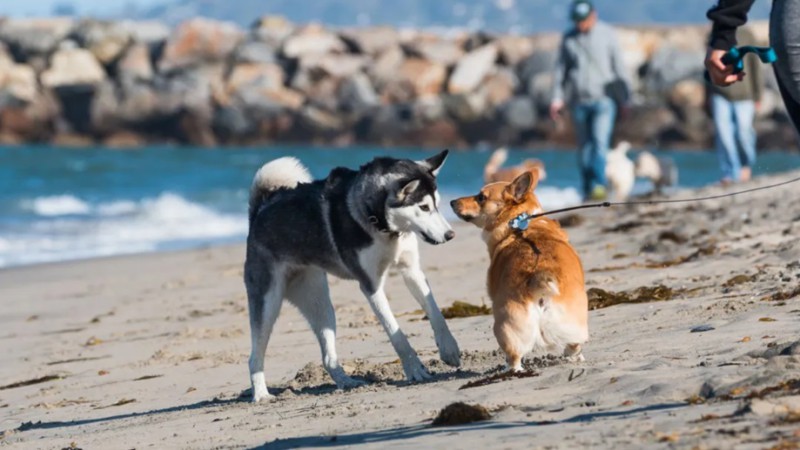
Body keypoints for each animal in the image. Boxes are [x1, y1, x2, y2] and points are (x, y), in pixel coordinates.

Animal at [244, 149, 460, 402]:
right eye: (424, 207)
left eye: (437, 205)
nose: (450, 234)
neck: (381, 224)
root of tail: (259, 210)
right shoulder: (371, 285)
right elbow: (396, 334)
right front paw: (414, 368)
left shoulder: (412, 271)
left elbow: (436, 314)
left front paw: (449, 349)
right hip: (268, 305)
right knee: (254, 357)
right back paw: (261, 395)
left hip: (321, 306)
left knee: (328, 357)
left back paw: (347, 382)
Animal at [450, 171, 588, 370]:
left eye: (481, 197)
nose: (452, 202)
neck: (520, 220)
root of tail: (539, 281)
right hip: (572, 322)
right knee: (574, 344)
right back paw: (574, 357)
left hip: (505, 327)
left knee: (514, 357)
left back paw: (508, 369)